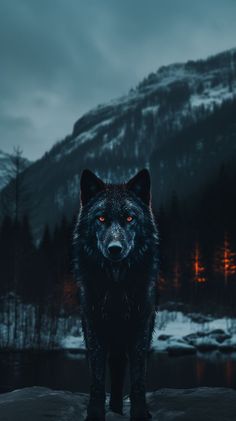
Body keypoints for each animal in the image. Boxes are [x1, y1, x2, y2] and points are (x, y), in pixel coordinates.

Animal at [74, 169, 159, 420]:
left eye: (129, 218)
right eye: (101, 218)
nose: (114, 249)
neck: (116, 286)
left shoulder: (140, 327)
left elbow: (138, 379)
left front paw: (140, 413)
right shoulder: (94, 327)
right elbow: (97, 379)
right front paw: (95, 413)